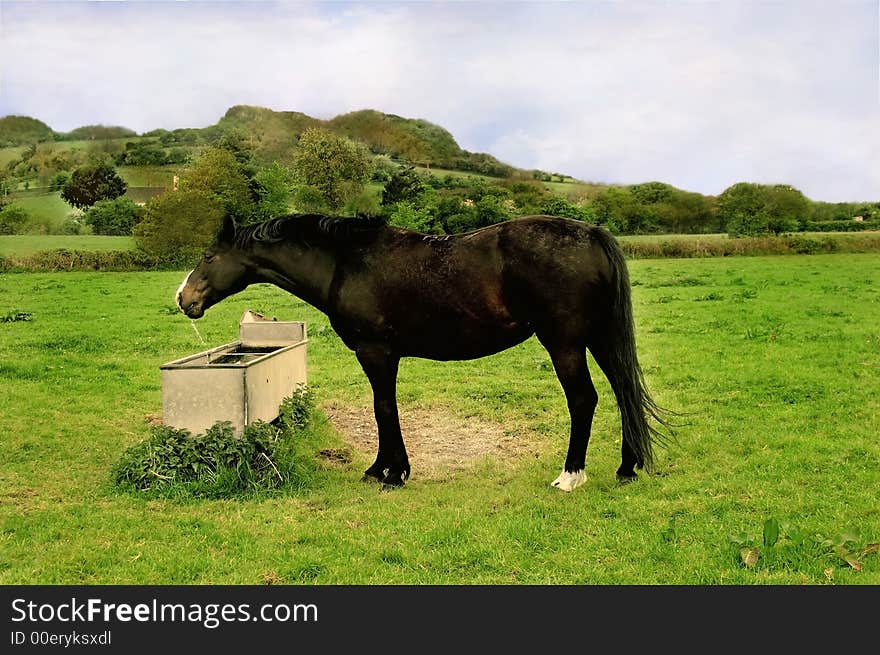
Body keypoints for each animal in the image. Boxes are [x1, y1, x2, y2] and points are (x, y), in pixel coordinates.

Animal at [175, 215, 672, 492]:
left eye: (209, 256)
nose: (184, 298)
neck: (346, 262)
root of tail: (591, 233)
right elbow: (385, 408)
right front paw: (385, 469)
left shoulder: (376, 353)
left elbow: (383, 408)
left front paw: (389, 473)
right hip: (599, 339)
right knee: (623, 392)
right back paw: (627, 467)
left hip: (565, 344)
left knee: (584, 401)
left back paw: (570, 476)